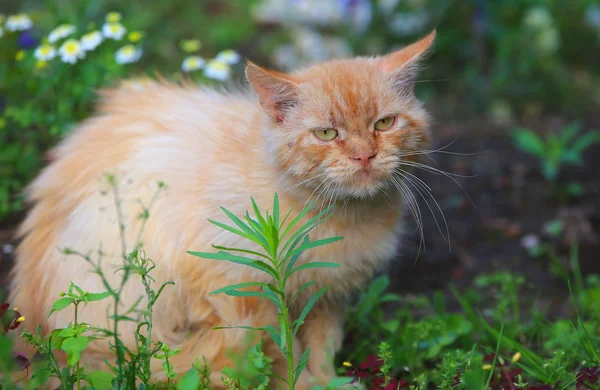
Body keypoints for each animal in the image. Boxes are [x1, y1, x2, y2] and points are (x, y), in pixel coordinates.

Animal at [8, 29, 436, 386]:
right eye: (326, 133)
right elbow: (283, 354)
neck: (340, 214)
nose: (364, 156)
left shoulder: (327, 295)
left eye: (384, 123)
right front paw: (304, 384)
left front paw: (328, 381)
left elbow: (321, 346)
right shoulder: (243, 291)